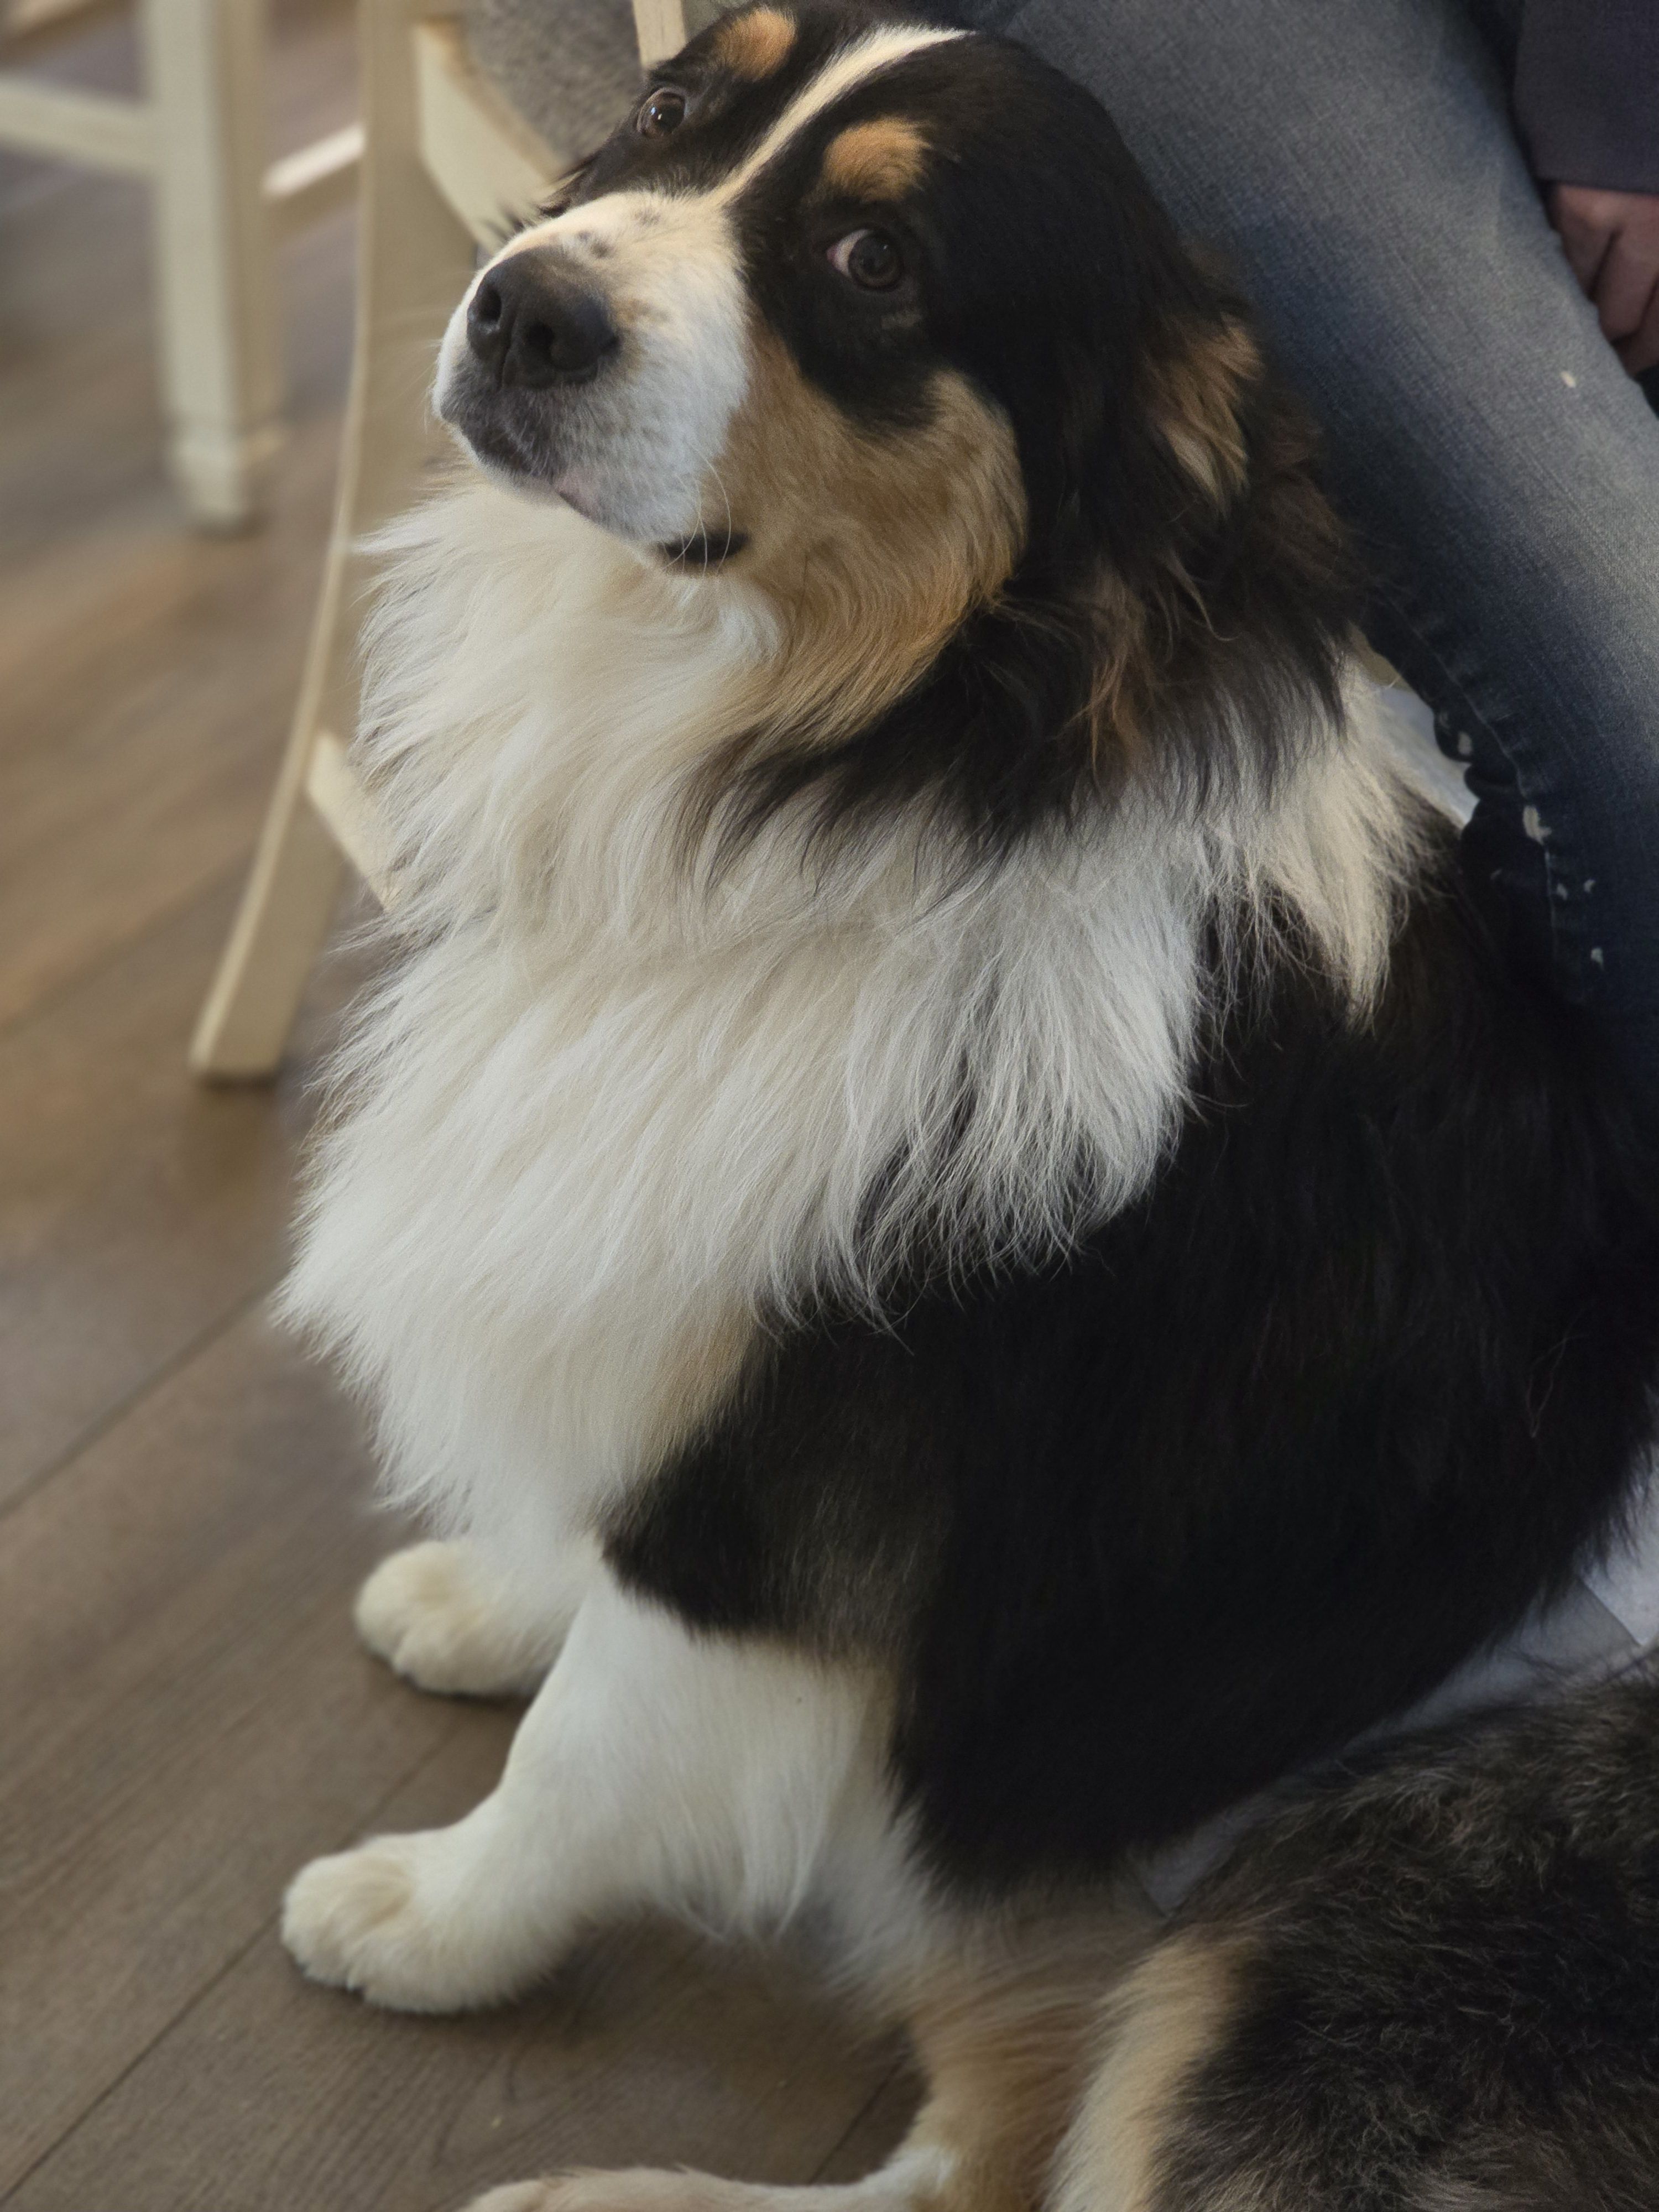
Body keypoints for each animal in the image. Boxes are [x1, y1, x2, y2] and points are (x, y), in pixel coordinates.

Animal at [277, 6, 1659, 2208]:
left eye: (876, 265)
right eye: (672, 104)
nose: (520, 309)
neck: (867, 779)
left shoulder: (811, 1506)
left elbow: (585, 1748)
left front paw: (428, 1914)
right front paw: (492, 1586)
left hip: (1325, 1935)